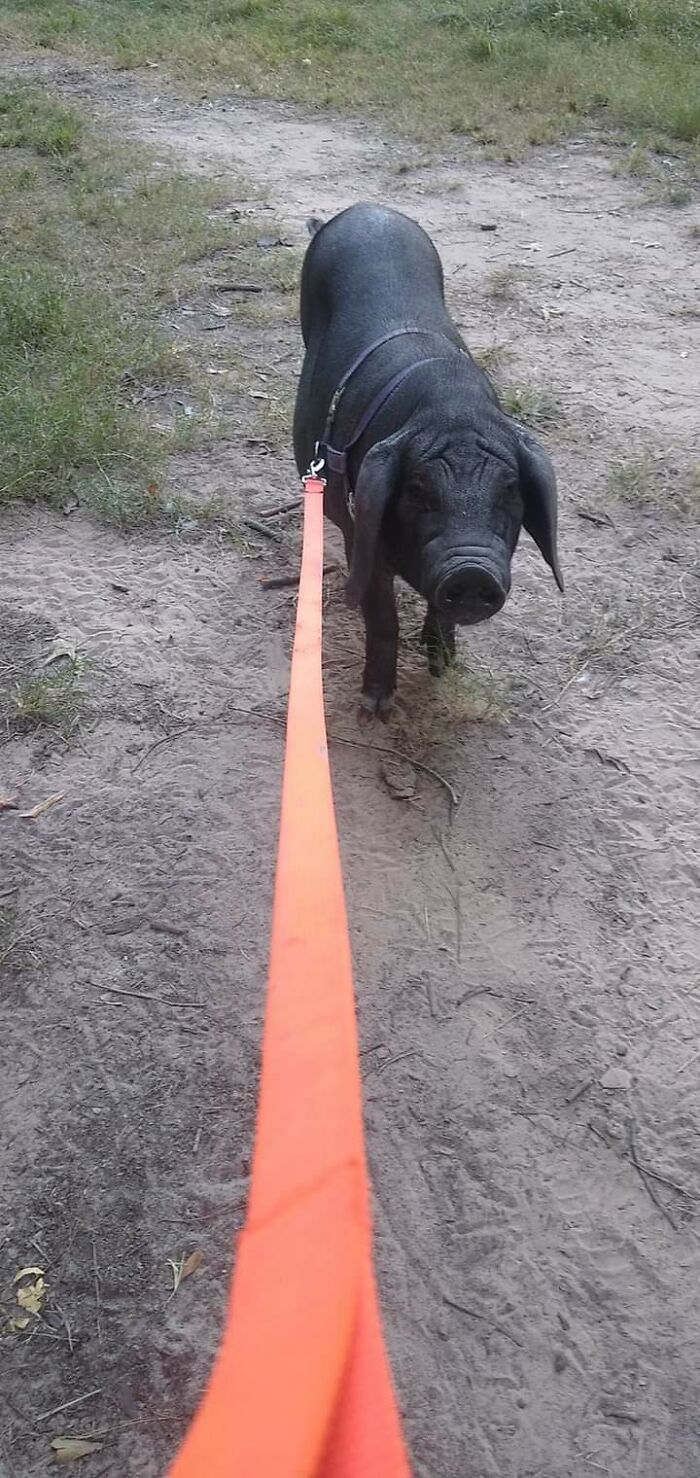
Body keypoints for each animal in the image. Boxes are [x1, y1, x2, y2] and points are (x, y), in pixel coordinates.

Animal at [293, 203, 563, 719]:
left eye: (510, 491)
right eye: (417, 490)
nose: (472, 569)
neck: (450, 410)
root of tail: (364, 208)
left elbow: (439, 614)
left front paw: (443, 667)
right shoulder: (364, 527)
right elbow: (381, 614)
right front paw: (375, 707)